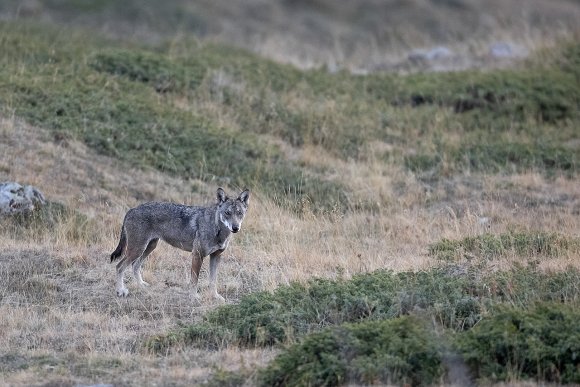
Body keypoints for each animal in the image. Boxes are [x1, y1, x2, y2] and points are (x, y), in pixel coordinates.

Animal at [111, 189, 249, 302]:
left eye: (239, 213)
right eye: (227, 213)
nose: (235, 228)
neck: (217, 229)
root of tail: (131, 209)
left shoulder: (216, 256)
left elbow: (213, 280)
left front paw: (215, 296)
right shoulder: (197, 255)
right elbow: (194, 280)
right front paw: (194, 297)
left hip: (148, 247)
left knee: (135, 266)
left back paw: (141, 285)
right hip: (138, 249)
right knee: (119, 266)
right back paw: (121, 291)